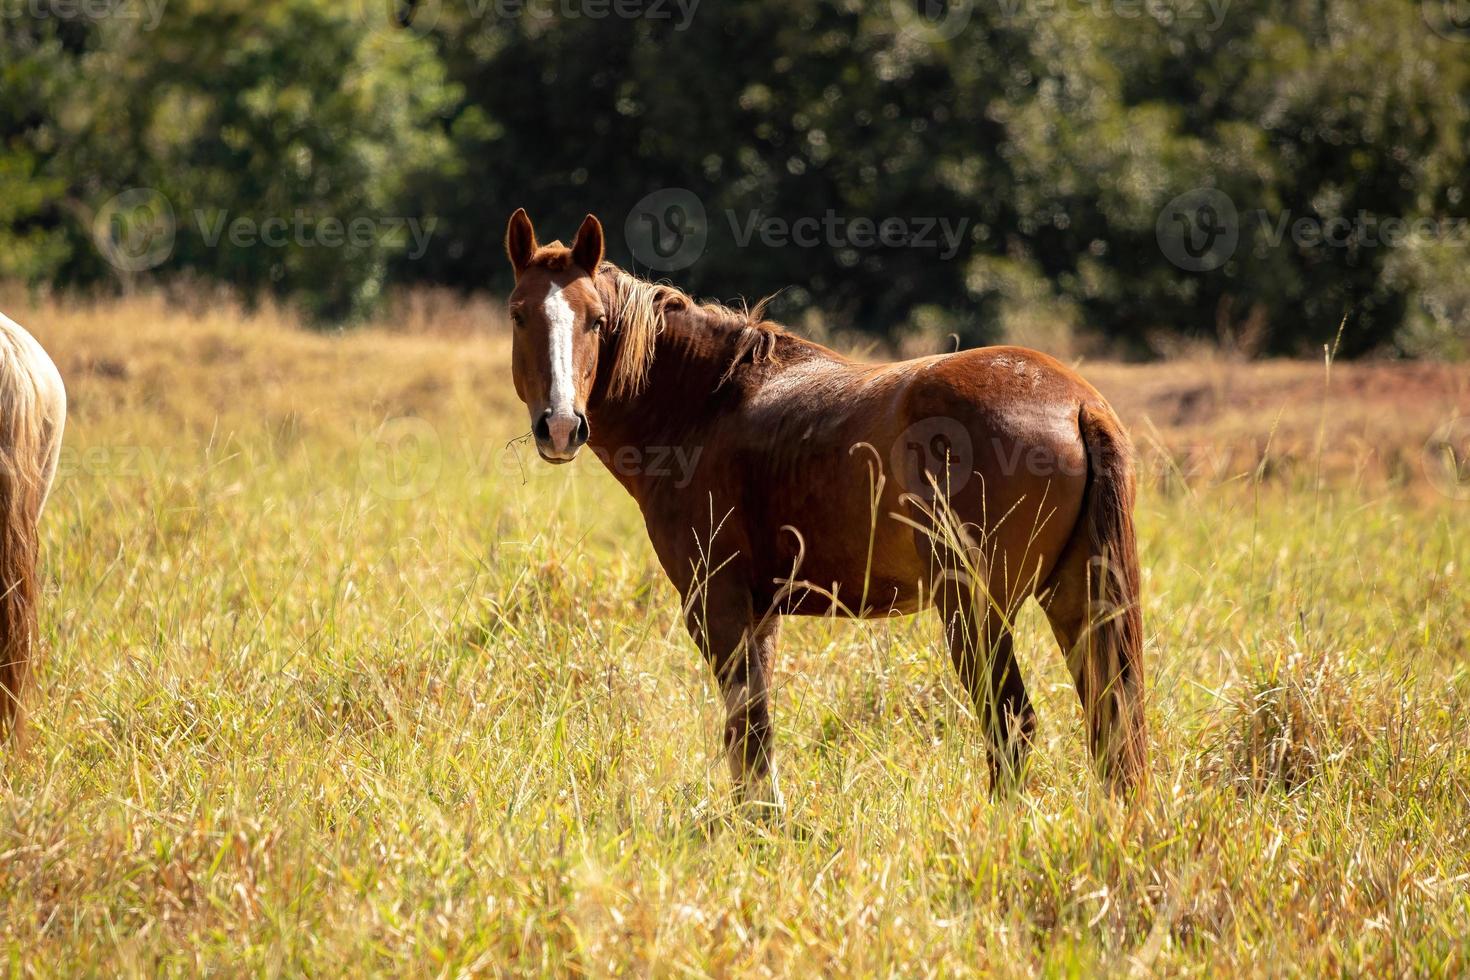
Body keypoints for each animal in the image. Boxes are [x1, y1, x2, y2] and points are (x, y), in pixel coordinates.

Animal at [505, 208, 1146, 811]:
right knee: (1110, 724)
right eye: (519, 314)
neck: (706, 405)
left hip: (976, 610)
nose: (560, 426)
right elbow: (754, 725)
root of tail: (1078, 403)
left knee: (1012, 724)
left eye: (596, 320)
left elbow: (749, 726)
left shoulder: (717, 600)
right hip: (1075, 601)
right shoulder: (760, 611)